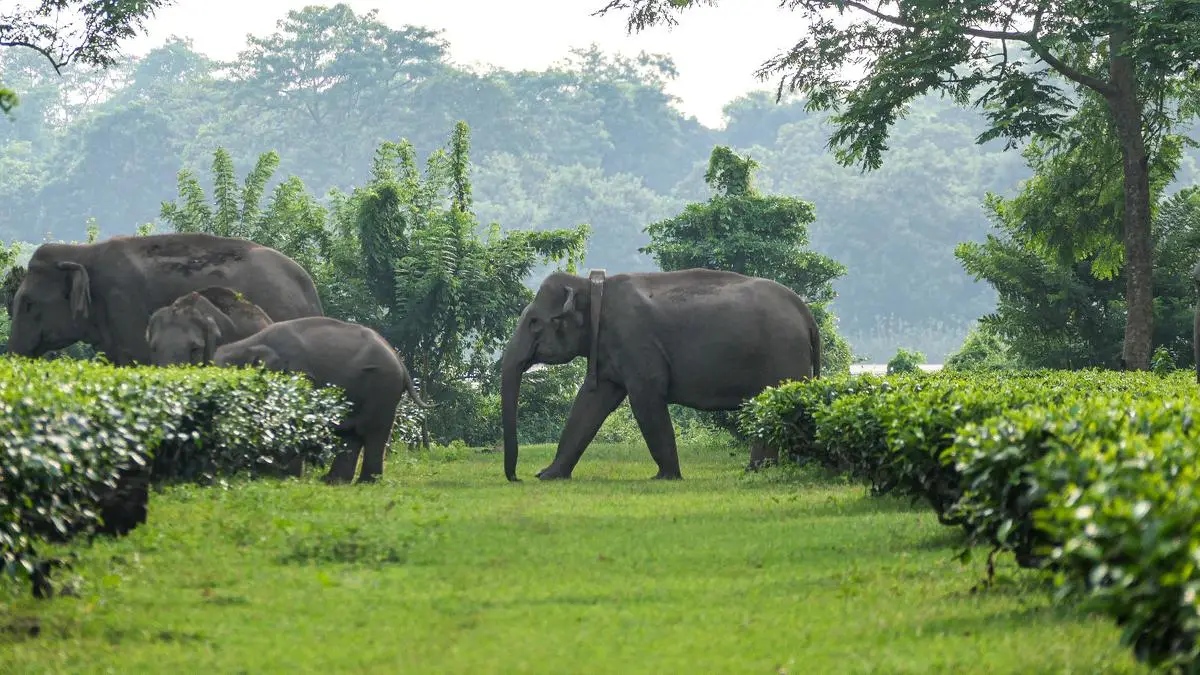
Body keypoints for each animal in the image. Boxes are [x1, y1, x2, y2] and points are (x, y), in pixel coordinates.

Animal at [212, 316, 434, 484]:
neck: (249, 343)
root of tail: (400, 362)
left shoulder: (298, 375)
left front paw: (285, 477)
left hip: (382, 388)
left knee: (372, 433)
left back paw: (365, 482)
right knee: (353, 435)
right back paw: (333, 481)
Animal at [500, 268, 821, 482]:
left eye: (534, 322)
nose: (518, 477)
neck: (593, 286)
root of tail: (807, 316)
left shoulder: (635, 342)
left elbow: (646, 399)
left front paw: (665, 477)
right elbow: (590, 403)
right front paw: (549, 475)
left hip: (783, 355)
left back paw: (763, 470)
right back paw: (758, 470)